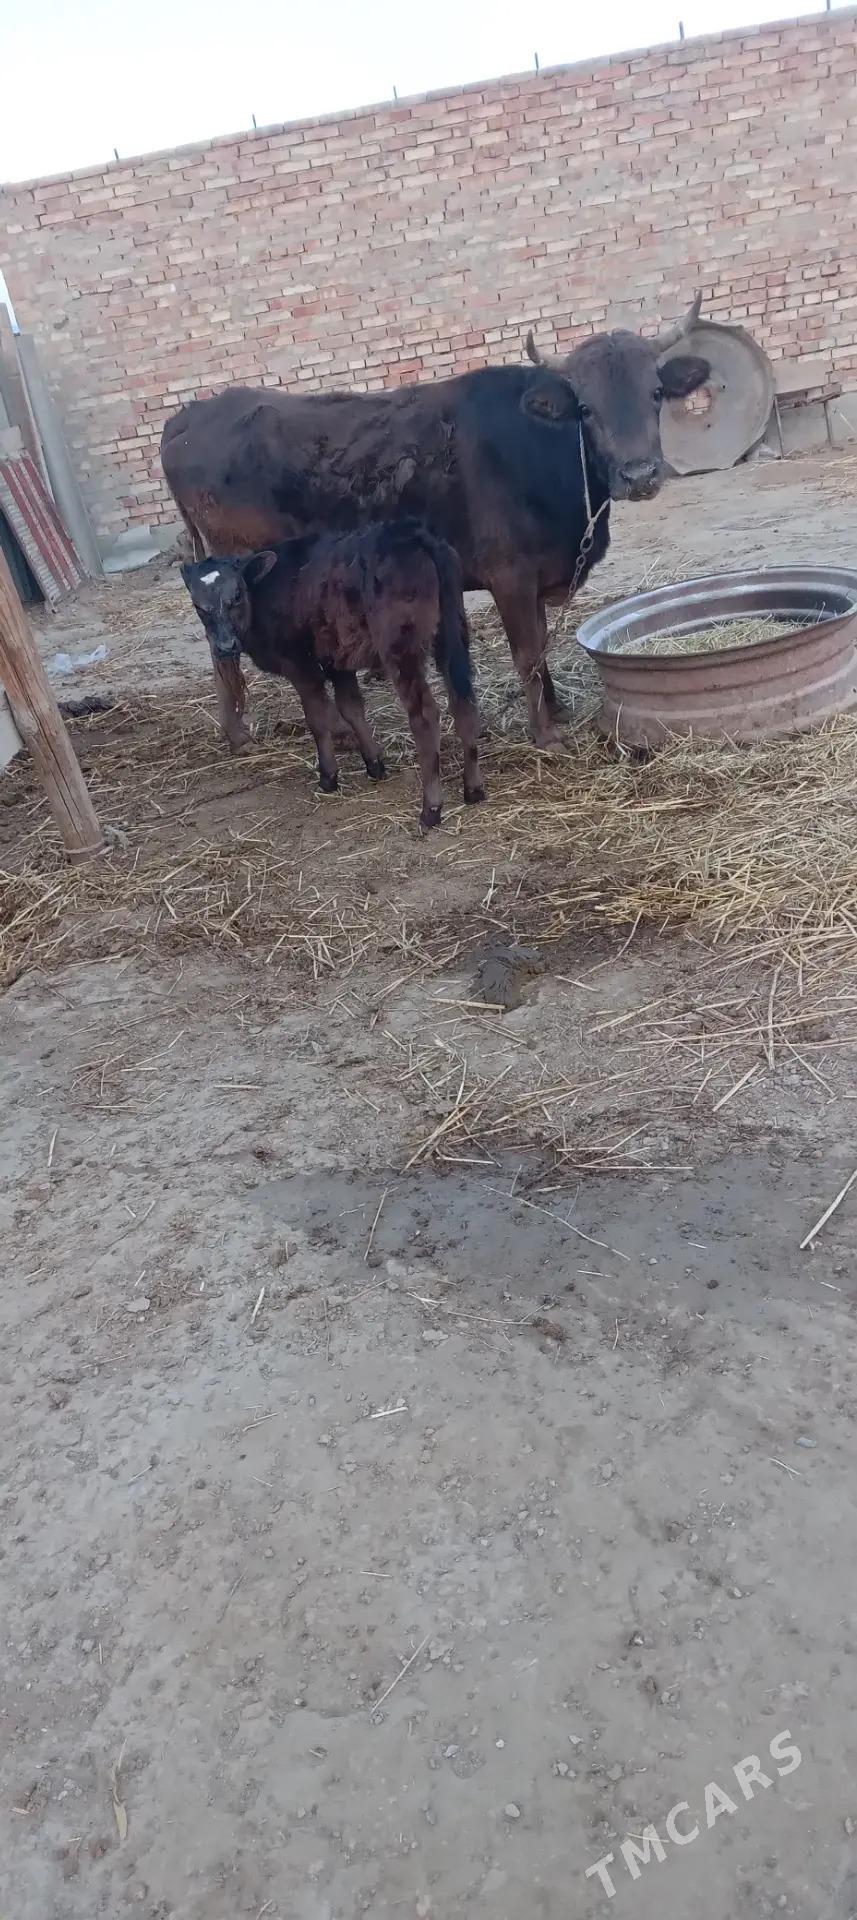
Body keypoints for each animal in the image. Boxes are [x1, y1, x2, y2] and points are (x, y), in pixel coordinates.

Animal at [161, 295, 709, 748]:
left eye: (656, 393)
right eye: (587, 408)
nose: (639, 474)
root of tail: (189, 415)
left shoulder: (533, 578)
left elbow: (540, 644)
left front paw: (556, 711)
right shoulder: (510, 575)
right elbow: (528, 652)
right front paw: (546, 736)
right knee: (230, 650)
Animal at [180, 518, 484, 830]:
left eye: (237, 595)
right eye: (197, 606)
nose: (225, 646)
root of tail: (415, 535)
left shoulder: (300, 665)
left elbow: (317, 717)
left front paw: (328, 777)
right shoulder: (338, 660)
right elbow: (351, 708)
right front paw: (374, 764)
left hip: (401, 647)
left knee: (425, 715)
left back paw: (431, 808)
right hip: (453, 632)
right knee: (463, 700)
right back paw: (473, 789)